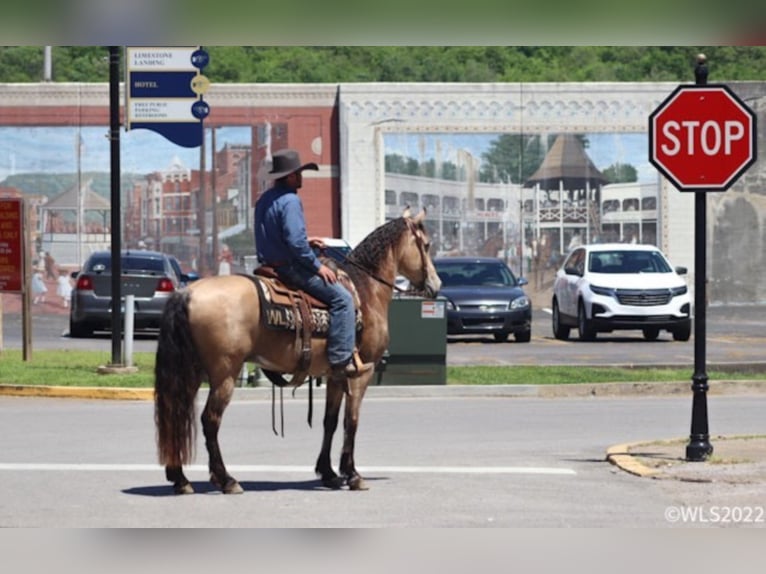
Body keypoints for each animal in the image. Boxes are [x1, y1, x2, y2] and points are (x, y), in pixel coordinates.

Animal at [154, 209, 444, 498]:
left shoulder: (337, 374)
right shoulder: (362, 373)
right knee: (210, 420)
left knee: (175, 413)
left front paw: (328, 473)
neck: (365, 290)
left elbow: (330, 421)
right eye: (427, 245)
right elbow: (351, 421)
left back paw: (180, 478)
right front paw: (353, 474)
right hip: (224, 374)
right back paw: (226, 479)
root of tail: (186, 292)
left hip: (191, 373)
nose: (436, 285)